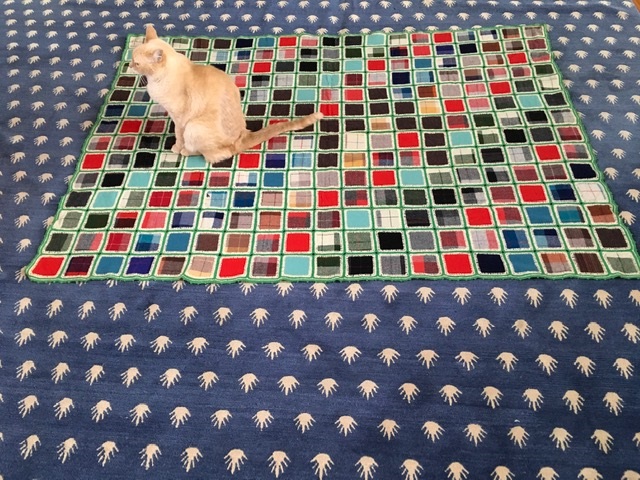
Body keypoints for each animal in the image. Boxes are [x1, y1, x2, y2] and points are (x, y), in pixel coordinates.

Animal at [131, 26, 323, 164]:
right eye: (133, 59)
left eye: (137, 63)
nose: (130, 65)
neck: (155, 81)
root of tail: (242, 136)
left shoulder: (179, 119)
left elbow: (179, 136)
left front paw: (177, 147)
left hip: (194, 127)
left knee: (213, 154)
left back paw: (186, 151)